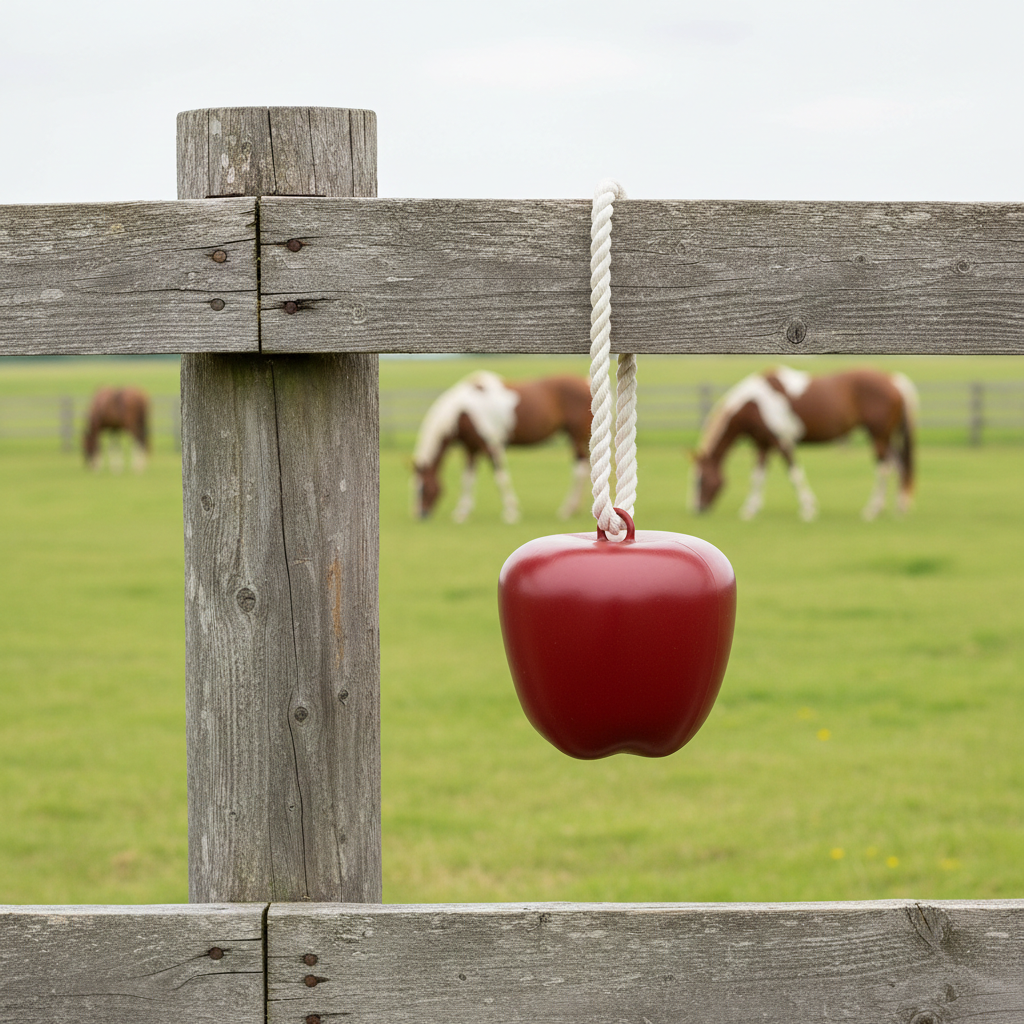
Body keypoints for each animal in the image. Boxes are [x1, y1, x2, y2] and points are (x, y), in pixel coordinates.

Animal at [412, 371, 592, 523]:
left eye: (423, 489)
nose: (421, 515)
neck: (464, 412)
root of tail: (586, 382)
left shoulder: (492, 446)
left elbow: (500, 477)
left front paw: (511, 512)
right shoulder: (471, 450)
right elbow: (468, 479)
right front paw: (462, 513)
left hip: (576, 438)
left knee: (580, 470)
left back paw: (567, 510)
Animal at [691, 366, 918, 521]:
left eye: (701, 481)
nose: (697, 509)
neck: (755, 403)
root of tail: (895, 380)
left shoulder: (782, 442)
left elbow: (794, 474)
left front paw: (808, 509)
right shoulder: (763, 445)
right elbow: (757, 477)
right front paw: (750, 509)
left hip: (878, 437)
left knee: (884, 468)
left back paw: (872, 510)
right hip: (885, 438)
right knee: (898, 466)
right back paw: (899, 508)